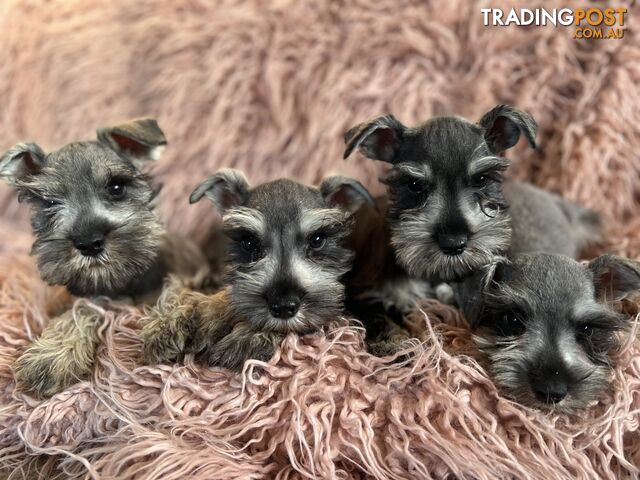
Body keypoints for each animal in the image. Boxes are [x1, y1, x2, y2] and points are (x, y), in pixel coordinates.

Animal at [0, 119, 210, 398]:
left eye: (116, 187)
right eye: (50, 203)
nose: (89, 243)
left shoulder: (184, 276)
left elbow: (176, 288)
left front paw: (166, 324)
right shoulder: (93, 296)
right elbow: (81, 309)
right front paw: (53, 354)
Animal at [141, 169, 372, 372]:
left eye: (317, 240)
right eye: (250, 243)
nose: (284, 307)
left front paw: (247, 338)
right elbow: (203, 296)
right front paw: (168, 328)